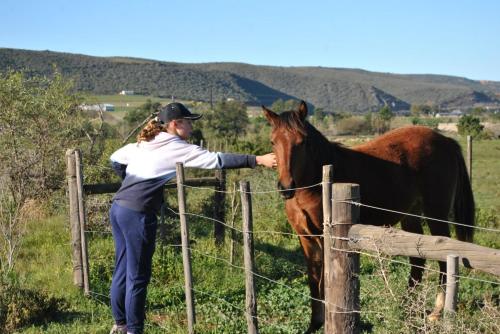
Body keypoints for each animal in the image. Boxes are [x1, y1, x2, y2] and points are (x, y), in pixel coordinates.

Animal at [264, 102, 474, 334]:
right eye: (273, 141)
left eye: (302, 142)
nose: (285, 187)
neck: (314, 183)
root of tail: (446, 142)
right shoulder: (306, 238)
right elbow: (313, 280)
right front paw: (314, 325)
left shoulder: (326, 237)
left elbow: (325, 282)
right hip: (410, 216)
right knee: (417, 261)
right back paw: (406, 308)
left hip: (437, 215)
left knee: (443, 260)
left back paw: (435, 313)